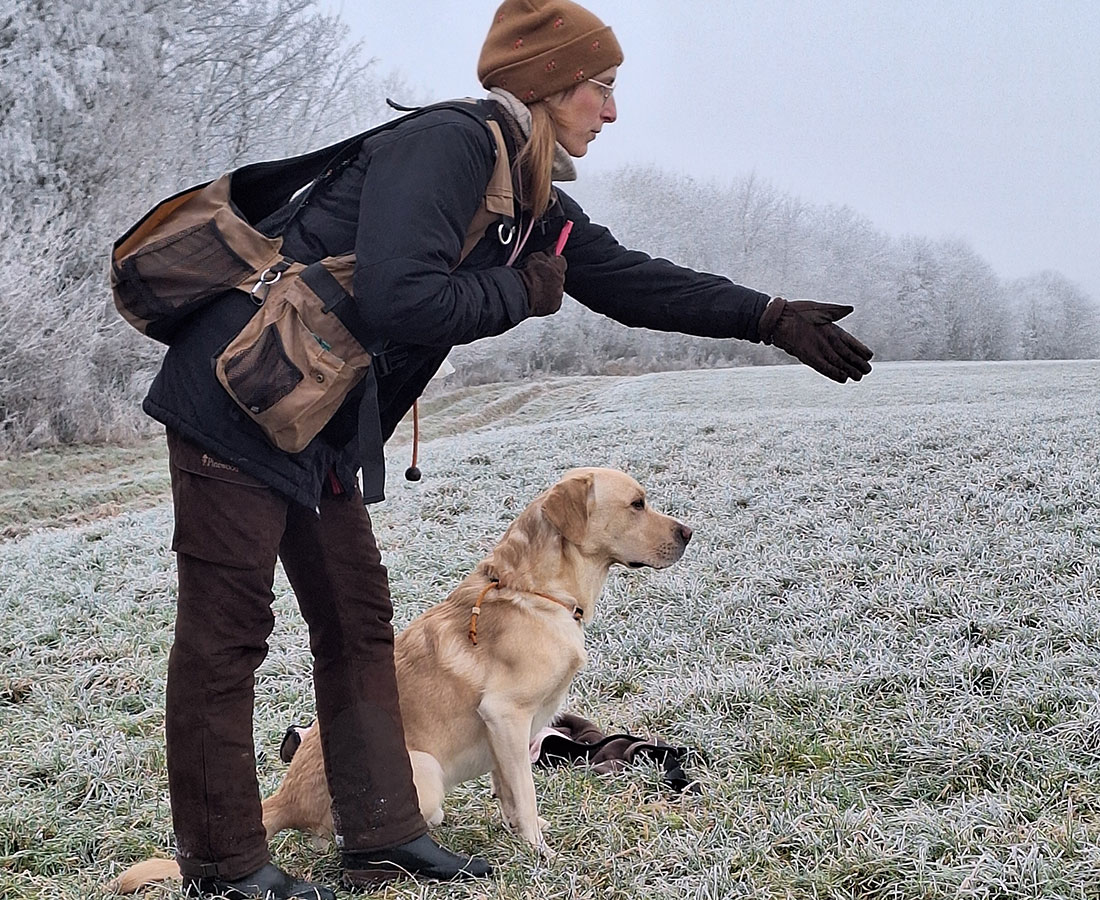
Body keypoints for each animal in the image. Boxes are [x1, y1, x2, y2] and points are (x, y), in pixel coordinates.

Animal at [113, 466, 695, 888]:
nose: (689, 533)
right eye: (638, 503)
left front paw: (520, 833)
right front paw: (539, 851)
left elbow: (509, 791)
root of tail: (283, 797)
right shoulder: (506, 716)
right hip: (423, 771)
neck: (538, 592)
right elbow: (525, 794)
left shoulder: (507, 735)